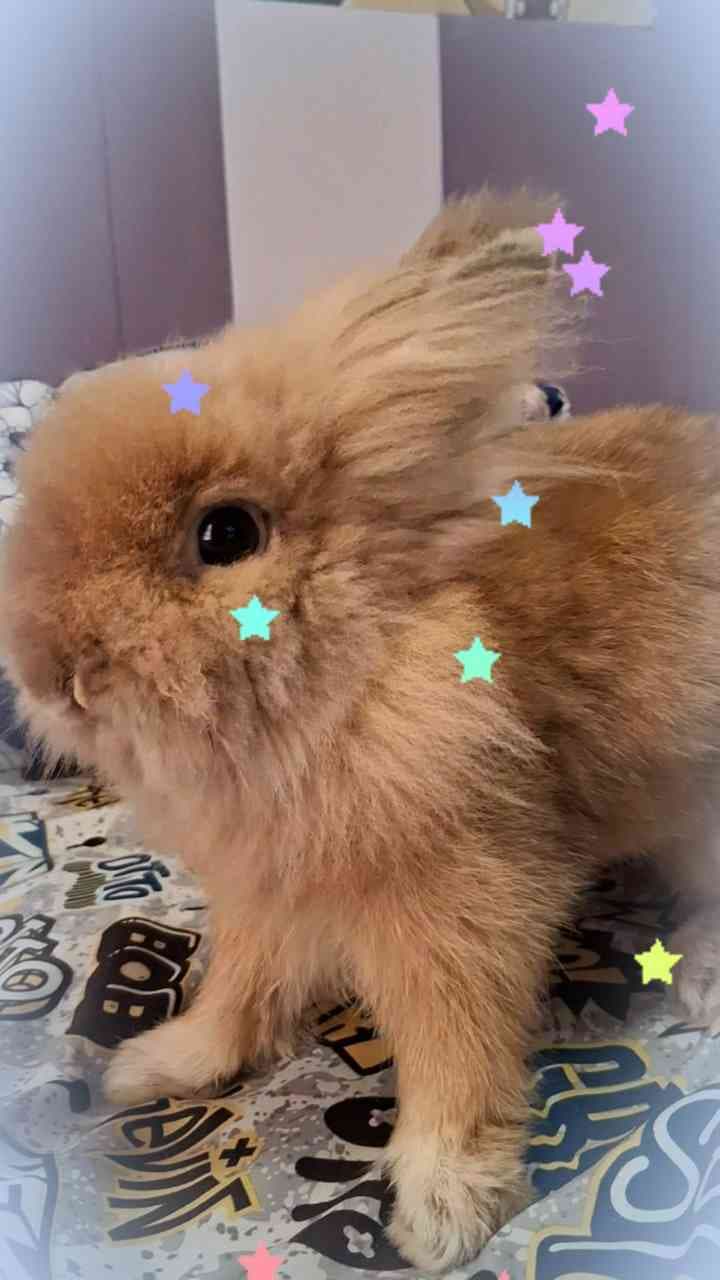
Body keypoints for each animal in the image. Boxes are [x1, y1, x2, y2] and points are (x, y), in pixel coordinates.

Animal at [2, 186, 720, 1274]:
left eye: (225, 534)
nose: (51, 671)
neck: (353, 670)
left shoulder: (462, 914)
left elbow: (456, 1062)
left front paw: (442, 1211)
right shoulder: (266, 898)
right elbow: (237, 992)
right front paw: (159, 1065)